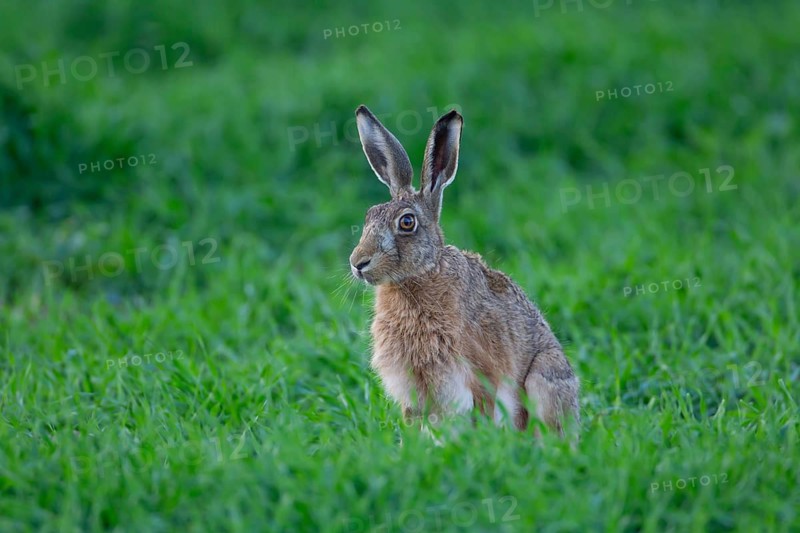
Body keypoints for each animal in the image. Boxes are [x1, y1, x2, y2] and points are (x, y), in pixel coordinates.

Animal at [349, 105, 580, 436]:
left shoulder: (480, 371)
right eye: (368, 216)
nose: (358, 262)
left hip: (544, 376)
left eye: (407, 222)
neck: (421, 276)